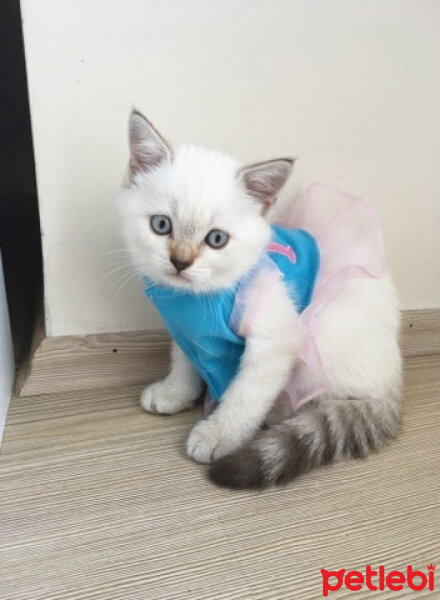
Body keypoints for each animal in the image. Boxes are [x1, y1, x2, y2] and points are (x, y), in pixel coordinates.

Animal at [120, 110, 402, 490]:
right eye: (161, 225)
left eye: (217, 239)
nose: (180, 261)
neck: (196, 299)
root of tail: (394, 384)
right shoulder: (187, 330)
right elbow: (184, 362)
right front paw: (174, 393)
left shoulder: (276, 336)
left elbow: (247, 393)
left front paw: (219, 434)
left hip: (330, 329)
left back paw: (282, 413)